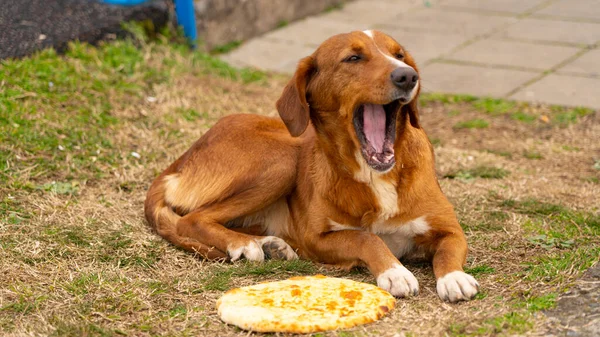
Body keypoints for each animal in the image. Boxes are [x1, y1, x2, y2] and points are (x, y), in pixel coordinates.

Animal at [144, 30, 478, 300]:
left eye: (399, 55)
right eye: (353, 58)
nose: (407, 76)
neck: (375, 175)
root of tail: (179, 160)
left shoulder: (450, 229)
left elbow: (448, 250)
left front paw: (454, 277)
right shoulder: (316, 239)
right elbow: (365, 237)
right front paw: (394, 271)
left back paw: (268, 243)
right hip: (283, 160)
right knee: (193, 219)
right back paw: (244, 244)